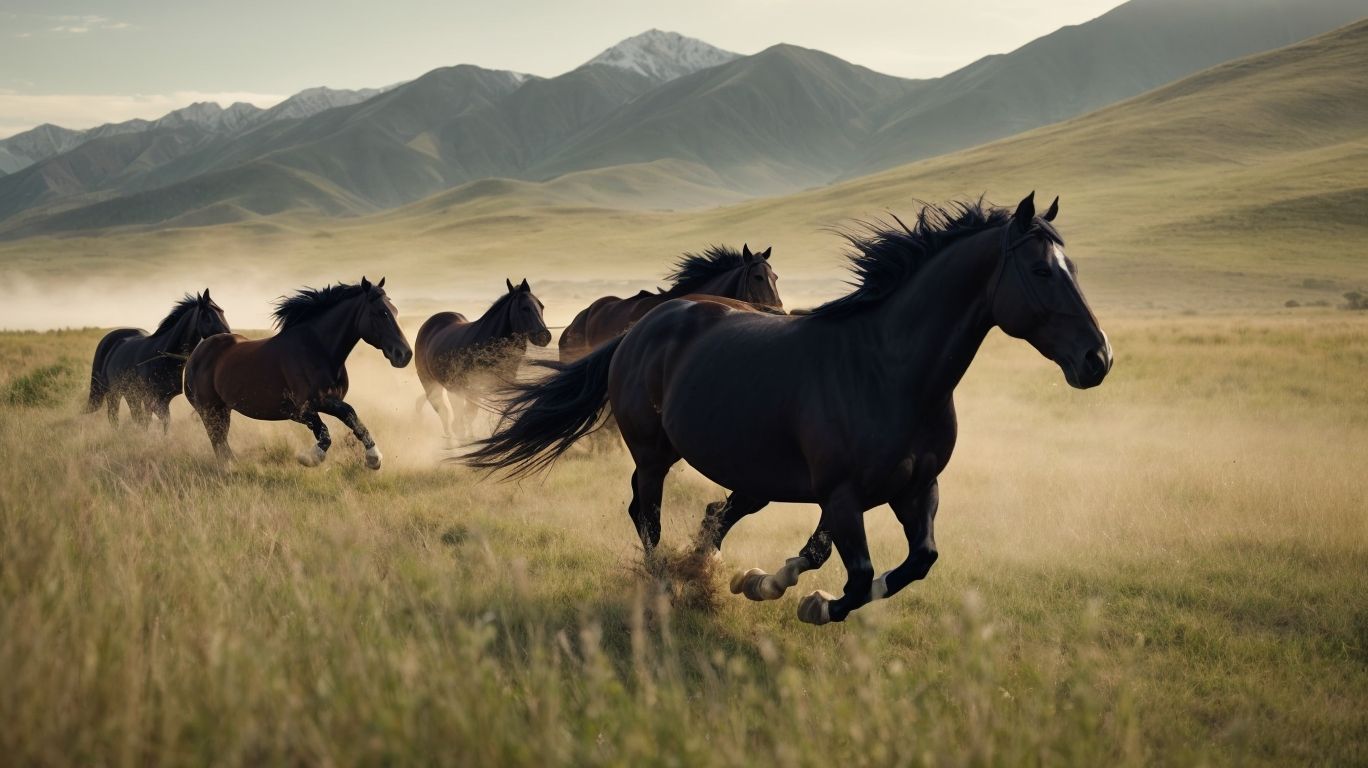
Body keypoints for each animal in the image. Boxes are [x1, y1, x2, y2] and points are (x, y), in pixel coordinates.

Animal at [84, 290, 230, 431]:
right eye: (206, 315)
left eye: (222, 311)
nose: (227, 336)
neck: (163, 357)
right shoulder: (149, 398)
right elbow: (148, 422)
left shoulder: (164, 398)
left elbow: (164, 423)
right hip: (112, 390)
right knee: (114, 415)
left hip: (130, 393)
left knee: (133, 415)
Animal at [184, 277, 412, 469]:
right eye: (382, 313)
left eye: (395, 311)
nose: (405, 354)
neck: (318, 350)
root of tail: (196, 354)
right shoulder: (301, 410)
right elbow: (326, 433)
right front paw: (309, 458)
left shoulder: (330, 401)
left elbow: (351, 416)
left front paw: (374, 458)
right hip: (209, 409)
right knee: (217, 439)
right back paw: (229, 469)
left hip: (223, 408)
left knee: (221, 439)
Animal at [415, 278, 552, 440]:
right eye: (524, 308)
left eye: (541, 306)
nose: (544, 336)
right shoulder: (474, 389)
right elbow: (468, 416)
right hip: (430, 384)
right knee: (446, 416)